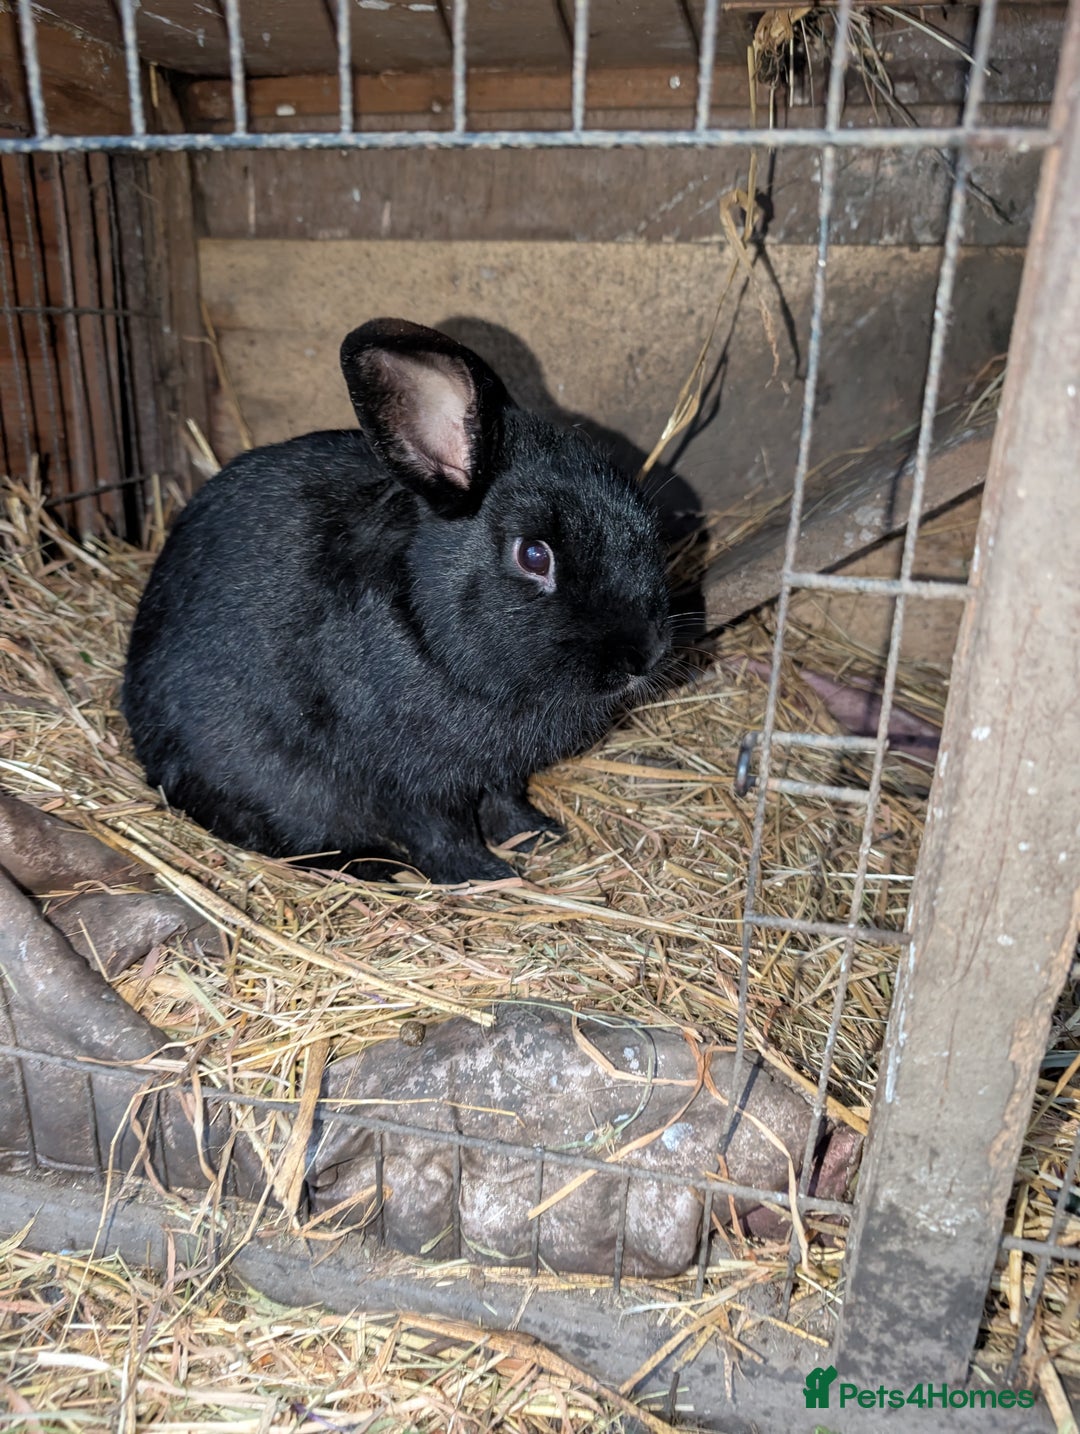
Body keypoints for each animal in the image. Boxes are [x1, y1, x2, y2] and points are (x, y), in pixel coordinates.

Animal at [121, 319, 672, 884]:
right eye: (534, 555)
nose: (643, 654)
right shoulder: (411, 782)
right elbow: (440, 832)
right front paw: (487, 876)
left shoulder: (498, 773)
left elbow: (505, 801)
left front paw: (537, 836)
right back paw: (377, 866)